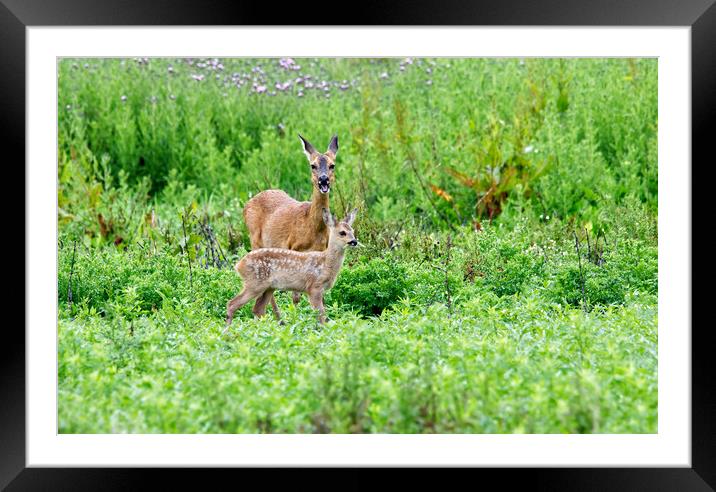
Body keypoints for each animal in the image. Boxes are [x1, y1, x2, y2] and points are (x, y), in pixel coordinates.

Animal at [224, 208, 358, 330]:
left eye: (352, 231)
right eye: (342, 232)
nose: (354, 241)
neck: (325, 263)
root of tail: (239, 265)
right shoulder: (314, 287)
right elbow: (321, 314)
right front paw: (324, 331)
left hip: (268, 287)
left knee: (258, 309)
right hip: (254, 283)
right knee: (232, 304)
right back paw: (228, 332)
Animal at [243, 134, 338, 320]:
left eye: (332, 165)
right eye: (313, 165)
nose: (324, 180)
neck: (312, 227)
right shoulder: (293, 249)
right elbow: (295, 296)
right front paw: (296, 318)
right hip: (255, 241)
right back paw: (275, 318)